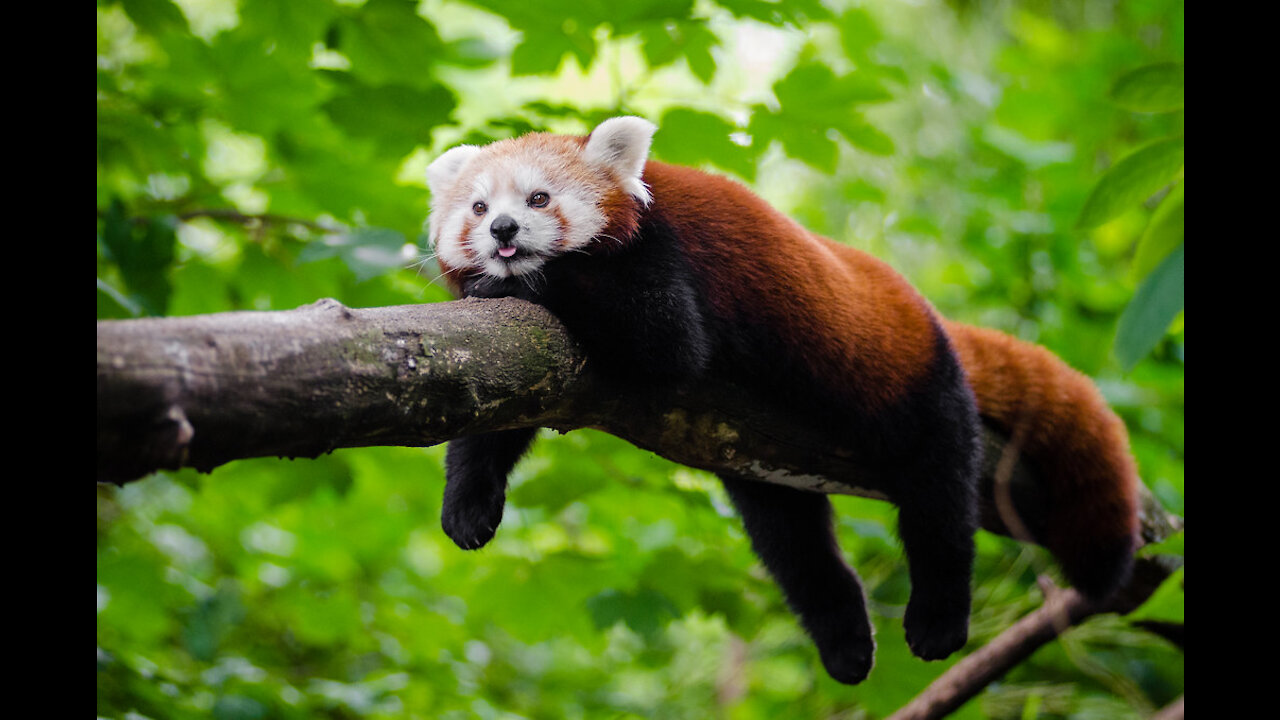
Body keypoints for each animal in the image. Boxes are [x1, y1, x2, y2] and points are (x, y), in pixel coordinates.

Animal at [424, 114, 1146, 681]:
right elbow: (496, 417)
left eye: (539, 197)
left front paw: (524, 280)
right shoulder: (524, 362)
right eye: (478, 208)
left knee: (938, 496)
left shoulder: (661, 257)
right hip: (762, 457)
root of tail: (929, 316)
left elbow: (664, 342)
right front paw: (468, 506)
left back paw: (937, 615)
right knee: (790, 541)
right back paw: (845, 639)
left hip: (915, 384)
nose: (504, 231)